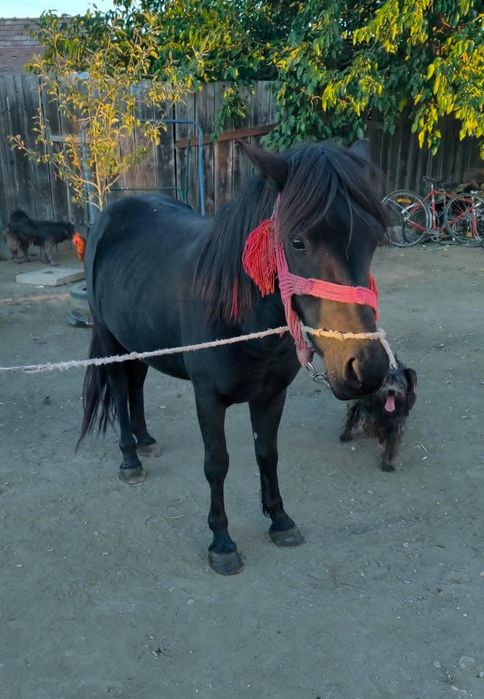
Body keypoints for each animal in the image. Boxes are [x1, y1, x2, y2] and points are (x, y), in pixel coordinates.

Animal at [79, 139, 389, 575]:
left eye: (373, 237)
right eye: (297, 241)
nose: (366, 366)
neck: (239, 317)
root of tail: (110, 216)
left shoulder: (272, 396)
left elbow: (267, 454)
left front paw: (280, 520)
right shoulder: (208, 399)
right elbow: (217, 464)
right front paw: (222, 542)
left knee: (136, 384)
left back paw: (144, 440)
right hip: (110, 341)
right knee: (121, 390)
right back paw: (129, 459)